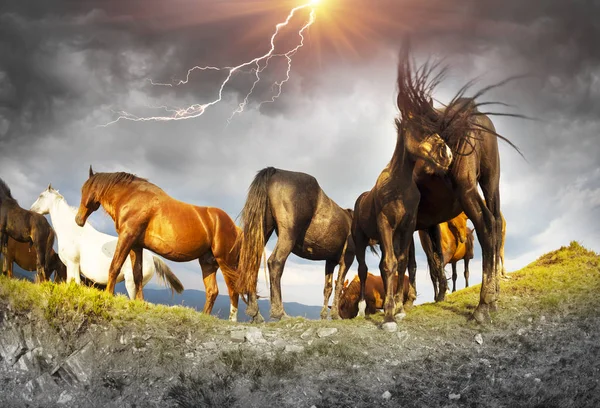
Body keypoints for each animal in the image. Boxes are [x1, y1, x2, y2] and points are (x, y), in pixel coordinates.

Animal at [30, 186, 184, 298]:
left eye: (41, 196)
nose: (31, 210)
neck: (73, 231)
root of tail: (152, 257)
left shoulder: (73, 264)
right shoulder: (70, 267)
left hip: (131, 285)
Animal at [74, 169, 243, 322]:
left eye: (84, 189)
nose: (78, 219)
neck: (132, 197)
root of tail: (235, 228)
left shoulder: (126, 237)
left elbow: (115, 266)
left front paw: (108, 296)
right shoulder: (136, 245)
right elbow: (137, 275)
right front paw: (140, 303)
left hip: (225, 261)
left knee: (233, 290)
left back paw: (232, 320)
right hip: (208, 263)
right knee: (212, 291)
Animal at [350, 58, 452, 326]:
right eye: (418, 127)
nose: (447, 155)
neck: (399, 186)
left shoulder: (407, 228)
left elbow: (402, 263)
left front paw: (397, 307)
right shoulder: (385, 224)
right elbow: (388, 264)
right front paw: (387, 314)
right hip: (360, 240)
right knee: (363, 269)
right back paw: (363, 309)